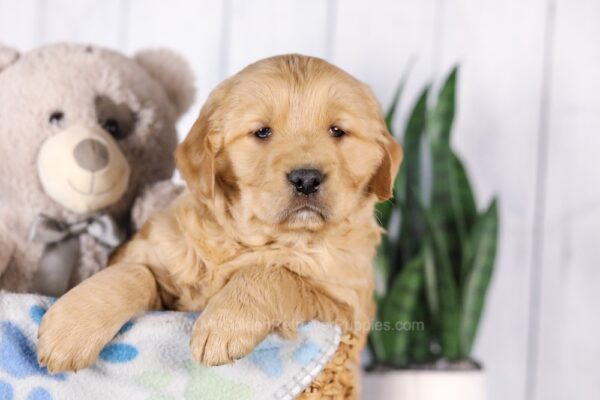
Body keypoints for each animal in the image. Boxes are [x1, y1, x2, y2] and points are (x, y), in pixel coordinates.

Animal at [38, 54, 404, 374]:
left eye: (338, 131)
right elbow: (133, 272)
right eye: (262, 132)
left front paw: (222, 325)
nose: (307, 179)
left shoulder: (347, 307)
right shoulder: (153, 257)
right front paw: (68, 329)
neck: (258, 239)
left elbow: (274, 274)